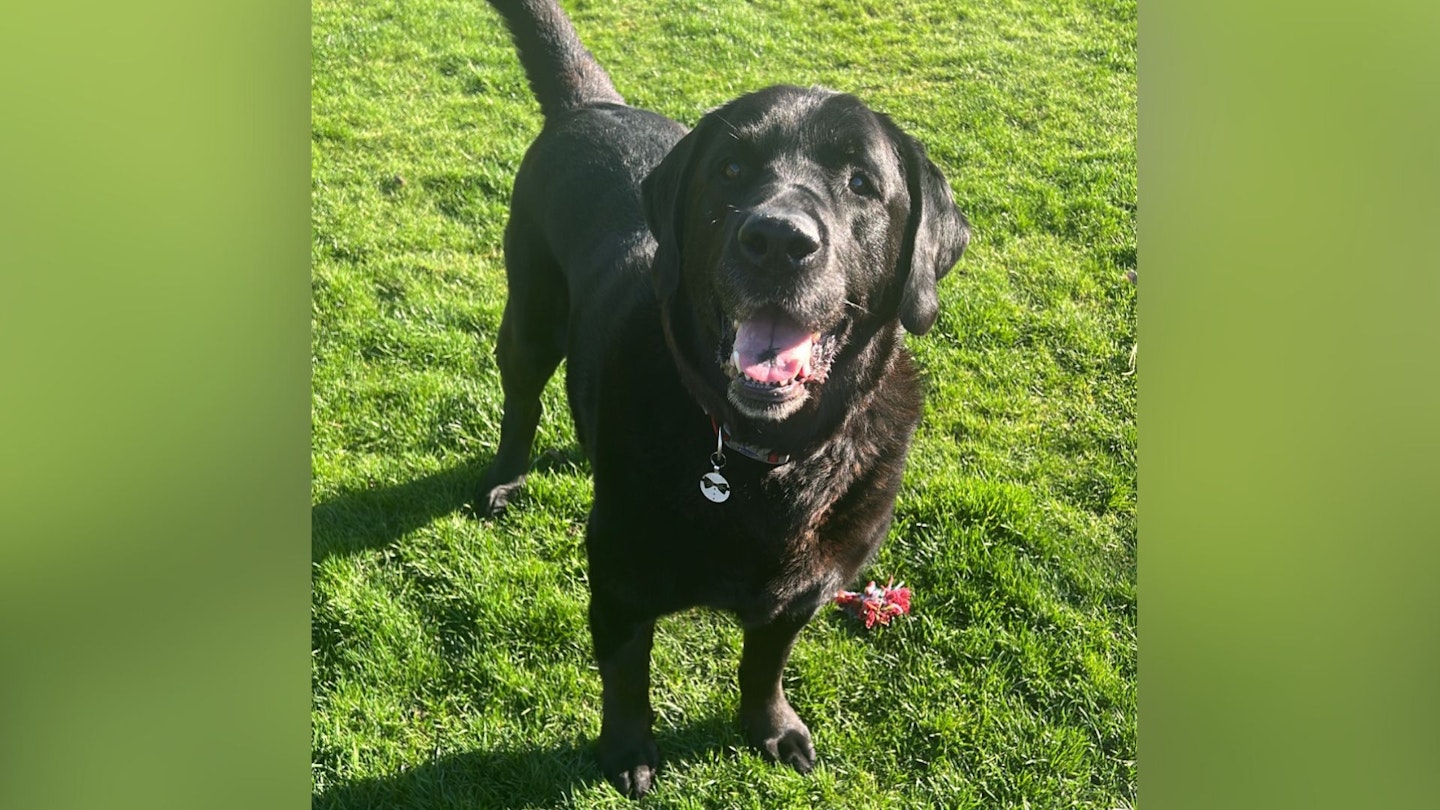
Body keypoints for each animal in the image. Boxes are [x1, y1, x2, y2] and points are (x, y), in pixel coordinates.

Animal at [475, 0, 967, 795]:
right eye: (731, 169)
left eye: (861, 182)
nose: (777, 239)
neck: (767, 460)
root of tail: (594, 106)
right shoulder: (617, 576)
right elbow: (626, 678)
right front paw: (626, 750)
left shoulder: (806, 589)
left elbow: (764, 665)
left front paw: (771, 728)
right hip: (532, 313)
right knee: (523, 397)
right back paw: (505, 479)